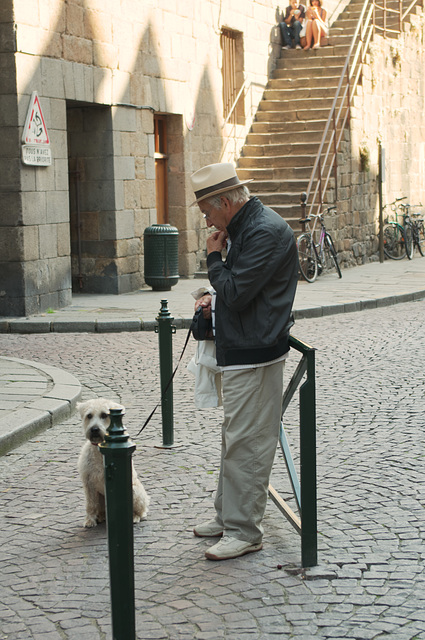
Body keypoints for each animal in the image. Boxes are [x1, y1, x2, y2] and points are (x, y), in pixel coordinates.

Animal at [77, 398, 150, 528]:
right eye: (89, 415)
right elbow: (90, 505)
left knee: (140, 512)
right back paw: (101, 517)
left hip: (135, 491)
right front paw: (90, 520)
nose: (94, 429)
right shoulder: (88, 483)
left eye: (104, 415)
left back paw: (134, 517)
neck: (99, 450)